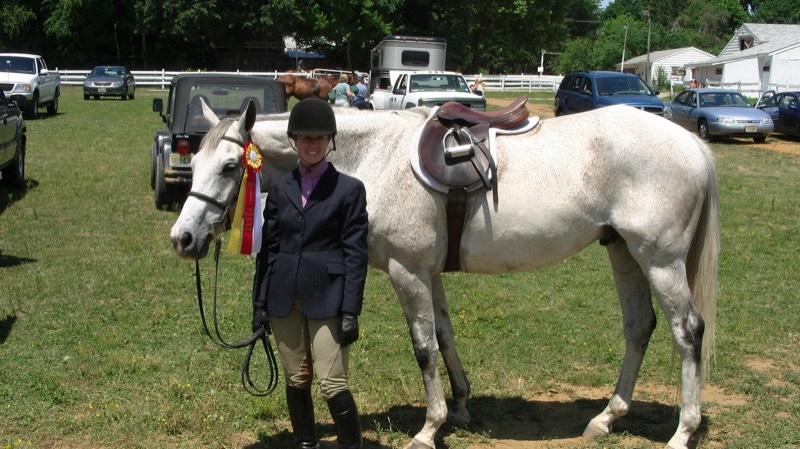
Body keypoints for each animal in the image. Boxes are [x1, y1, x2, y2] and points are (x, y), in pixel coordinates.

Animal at [170, 99, 719, 449]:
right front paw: (459, 407)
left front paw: (428, 428)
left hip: (659, 259)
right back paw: (606, 417)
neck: (374, 158)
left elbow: (423, 347)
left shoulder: (406, 270)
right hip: (623, 251)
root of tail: (690, 143)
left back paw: (682, 432)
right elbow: (446, 335)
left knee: (687, 331)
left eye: (228, 167)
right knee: (639, 327)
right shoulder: (429, 272)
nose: (184, 239)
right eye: (192, 164)